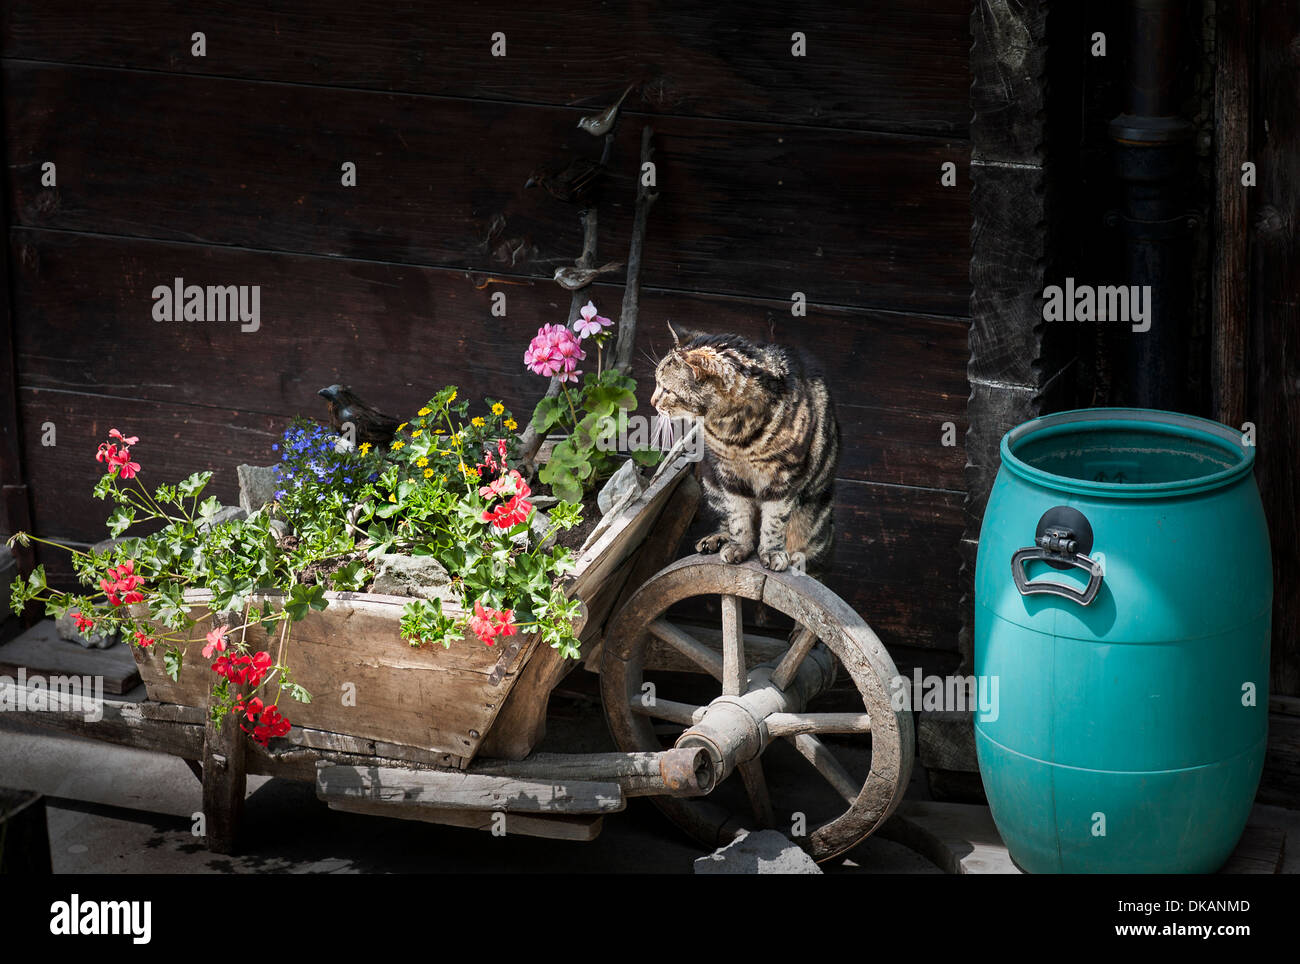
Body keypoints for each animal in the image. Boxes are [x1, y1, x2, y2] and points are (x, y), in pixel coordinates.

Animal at [650, 328, 842, 576]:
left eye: (666, 389)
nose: (652, 401)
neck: (735, 433)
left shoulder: (784, 475)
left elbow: (774, 520)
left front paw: (771, 552)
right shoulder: (728, 474)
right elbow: (737, 515)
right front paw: (738, 546)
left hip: (814, 522)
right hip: (710, 481)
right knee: (726, 519)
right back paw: (717, 539)